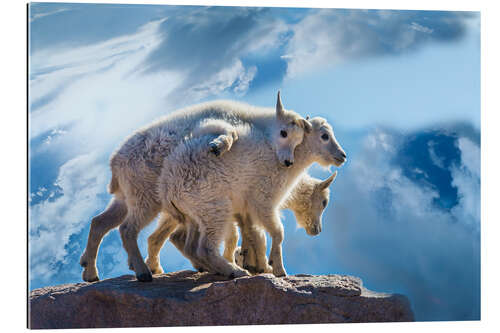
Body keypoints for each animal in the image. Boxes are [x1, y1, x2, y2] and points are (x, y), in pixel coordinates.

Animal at [79, 92, 310, 282]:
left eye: (299, 141)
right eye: (283, 133)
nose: (287, 162)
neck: (254, 121)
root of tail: (115, 165)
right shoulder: (213, 123)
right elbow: (228, 131)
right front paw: (218, 146)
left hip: (126, 199)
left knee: (99, 223)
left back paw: (90, 271)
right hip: (145, 196)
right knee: (127, 229)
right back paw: (143, 271)